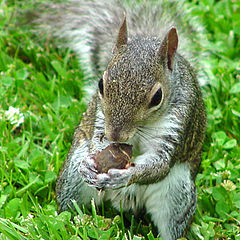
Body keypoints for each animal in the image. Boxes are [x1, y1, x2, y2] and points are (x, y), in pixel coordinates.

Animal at [33, 0, 206, 239]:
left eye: (157, 97)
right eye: (101, 85)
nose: (115, 135)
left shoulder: (178, 125)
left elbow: (159, 164)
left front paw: (124, 176)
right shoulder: (100, 117)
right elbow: (97, 139)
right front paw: (93, 160)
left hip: (177, 196)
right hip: (72, 179)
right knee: (69, 210)